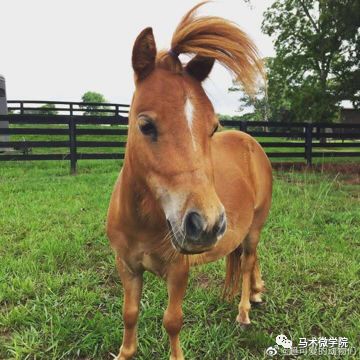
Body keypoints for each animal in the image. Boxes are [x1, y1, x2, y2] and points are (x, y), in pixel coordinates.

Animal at [107, 3, 272, 360]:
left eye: (212, 128)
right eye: (145, 125)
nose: (205, 224)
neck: (144, 221)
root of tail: (252, 143)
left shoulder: (178, 271)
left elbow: (172, 321)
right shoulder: (127, 266)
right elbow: (129, 313)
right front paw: (125, 352)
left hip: (255, 225)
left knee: (248, 259)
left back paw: (244, 310)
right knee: (248, 259)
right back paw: (255, 292)